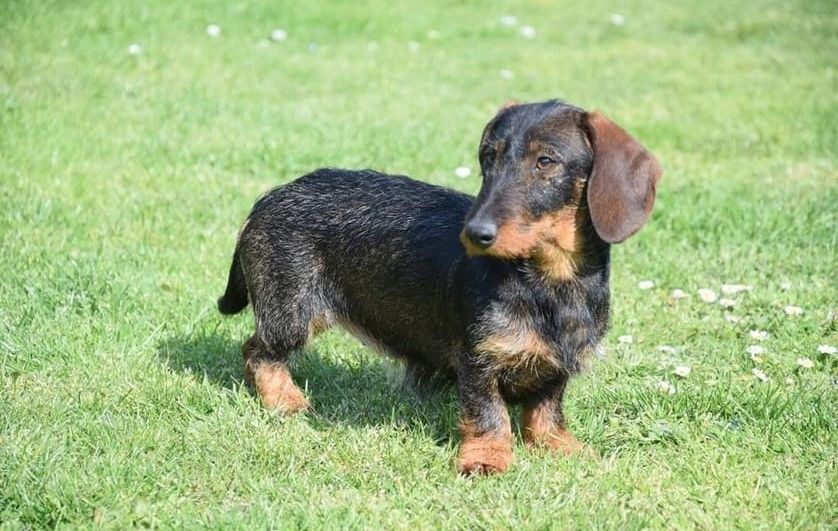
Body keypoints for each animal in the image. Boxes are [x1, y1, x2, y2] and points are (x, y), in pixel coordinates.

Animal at [218, 102, 664, 476]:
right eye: (489, 158)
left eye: (545, 161)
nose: (476, 233)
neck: (550, 283)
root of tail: (269, 198)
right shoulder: (478, 359)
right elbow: (490, 413)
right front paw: (486, 458)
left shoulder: (559, 363)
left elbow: (546, 410)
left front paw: (559, 445)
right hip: (291, 312)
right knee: (257, 351)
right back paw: (285, 401)